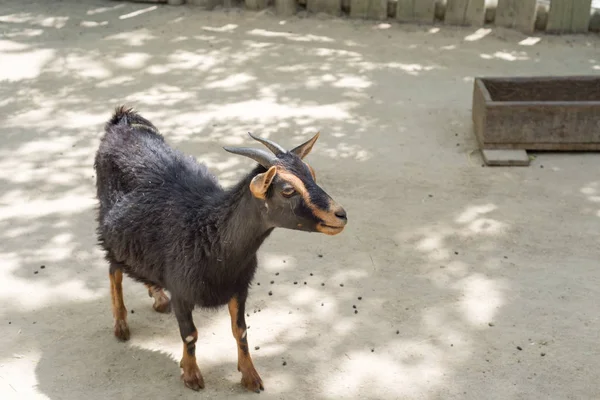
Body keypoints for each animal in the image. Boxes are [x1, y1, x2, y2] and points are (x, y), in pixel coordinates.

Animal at [93, 107, 346, 394]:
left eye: (311, 174)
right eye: (287, 189)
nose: (340, 215)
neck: (210, 235)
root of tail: (121, 122)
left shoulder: (238, 287)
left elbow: (241, 331)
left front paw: (250, 376)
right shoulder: (181, 290)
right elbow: (190, 334)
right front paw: (191, 374)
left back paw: (157, 297)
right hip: (112, 229)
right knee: (114, 270)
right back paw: (121, 324)